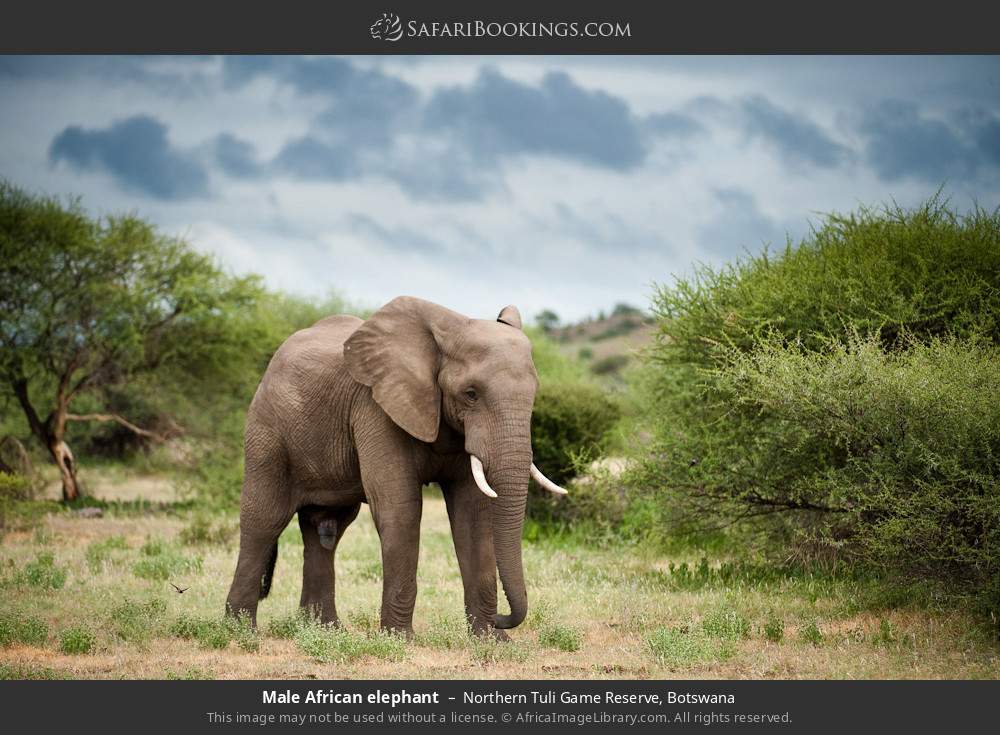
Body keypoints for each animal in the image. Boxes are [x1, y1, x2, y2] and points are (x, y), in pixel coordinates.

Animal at [224, 296, 567, 638]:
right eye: (471, 394)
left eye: (534, 394)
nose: (502, 616)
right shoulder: (375, 406)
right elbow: (401, 509)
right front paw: (400, 639)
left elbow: (472, 513)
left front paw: (491, 639)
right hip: (267, 432)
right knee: (264, 520)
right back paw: (241, 631)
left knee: (326, 530)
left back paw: (326, 631)